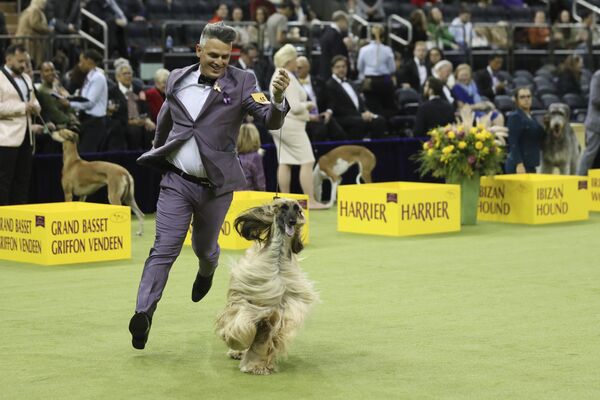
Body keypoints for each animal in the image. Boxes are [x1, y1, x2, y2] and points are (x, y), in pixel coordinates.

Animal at [216, 198, 318, 376]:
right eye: (284, 208)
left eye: (297, 209)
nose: (293, 221)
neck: (277, 260)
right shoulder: (250, 300)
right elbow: (244, 324)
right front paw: (235, 341)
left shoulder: (274, 314)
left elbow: (263, 339)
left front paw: (257, 365)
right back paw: (236, 350)